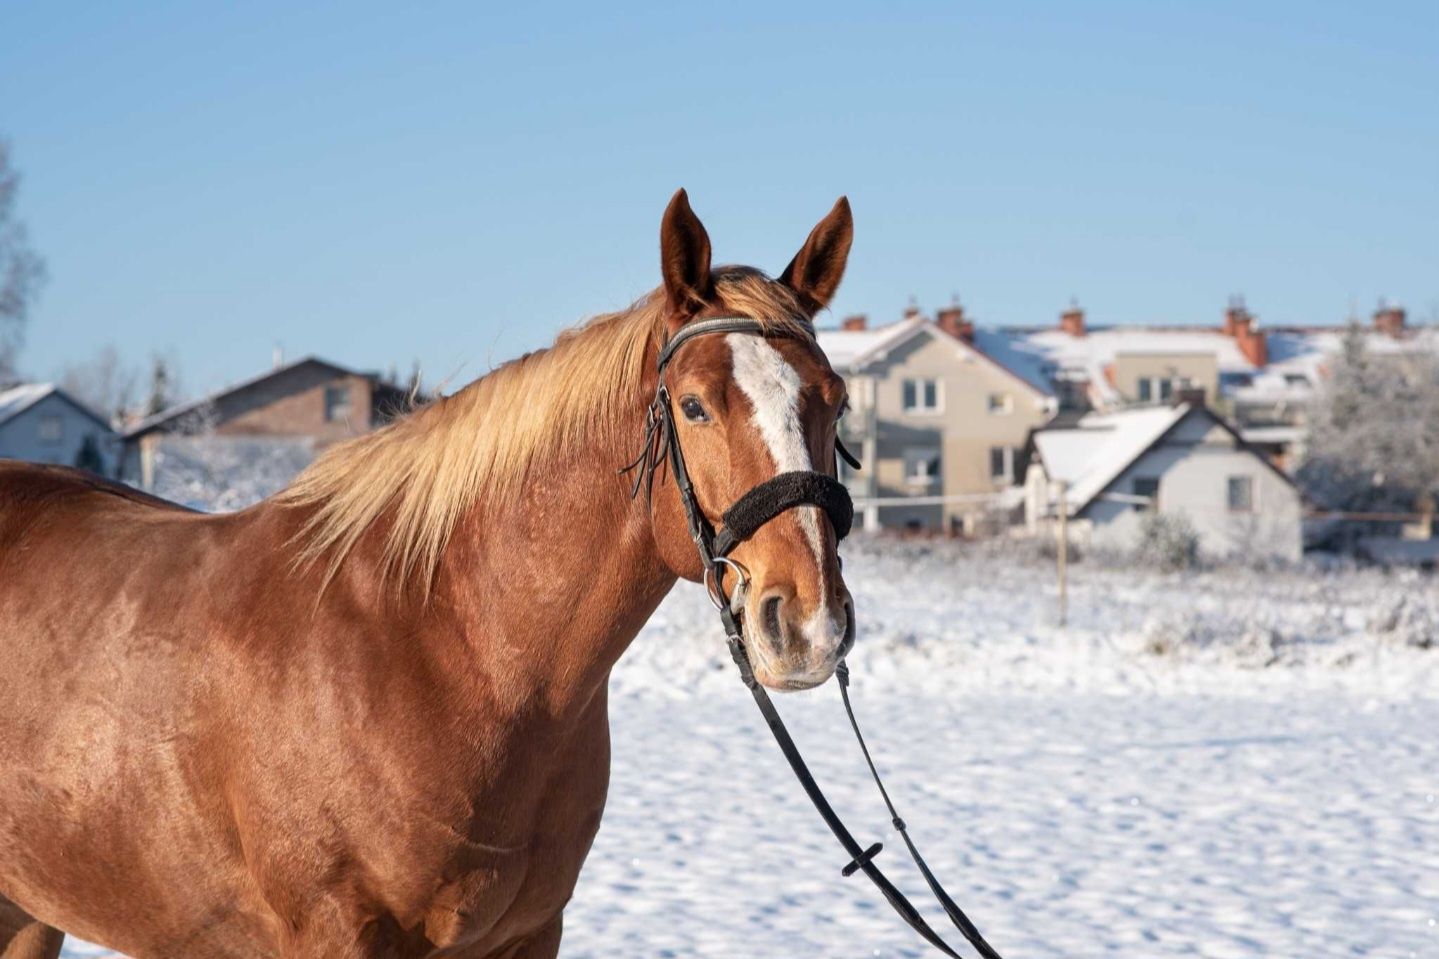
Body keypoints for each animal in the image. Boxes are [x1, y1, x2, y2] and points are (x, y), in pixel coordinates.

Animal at [0, 190, 851, 950]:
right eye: (694, 404)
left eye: (836, 400)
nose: (807, 623)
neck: (445, 644)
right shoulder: (338, 934)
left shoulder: (528, 934)